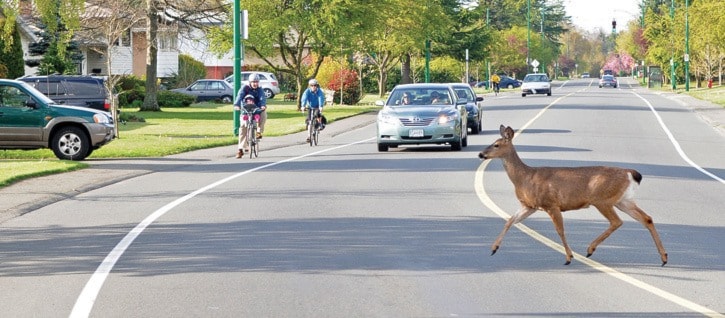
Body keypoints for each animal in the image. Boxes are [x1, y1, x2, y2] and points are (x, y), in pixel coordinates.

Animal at [476, 124, 668, 266]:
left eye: (496, 145)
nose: (480, 153)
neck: (525, 178)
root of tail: (630, 173)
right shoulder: (529, 205)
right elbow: (510, 221)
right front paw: (494, 248)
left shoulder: (551, 204)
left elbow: (560, 230)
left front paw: (569, 257)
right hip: (623, 200)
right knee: (646, 218)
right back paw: (664, 257)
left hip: (602, 199)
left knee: (617, 221)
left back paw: (590, 249)